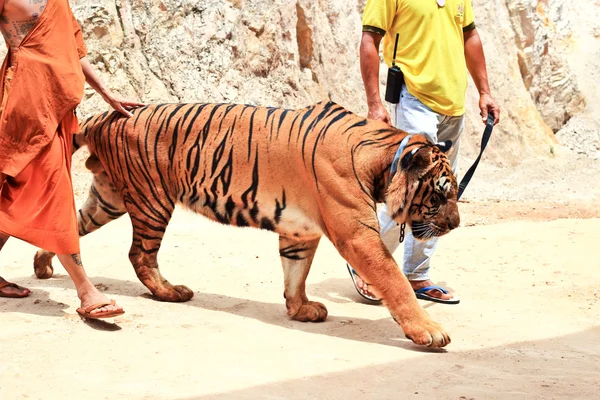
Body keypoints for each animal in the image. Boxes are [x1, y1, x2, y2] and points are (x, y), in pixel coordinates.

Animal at [32, 101, 460, 348]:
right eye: (440, 196)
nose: (455, 224)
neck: (384, 160)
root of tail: (104, 115)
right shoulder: (357, 234)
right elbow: (394, 281)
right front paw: (428, 330)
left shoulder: (299, 230)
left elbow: (295, 272)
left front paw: (300, 309)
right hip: (151, 199)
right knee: (139, 254)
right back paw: (170, 292)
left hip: (109, 199)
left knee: (70, 226)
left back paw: (42, 266)